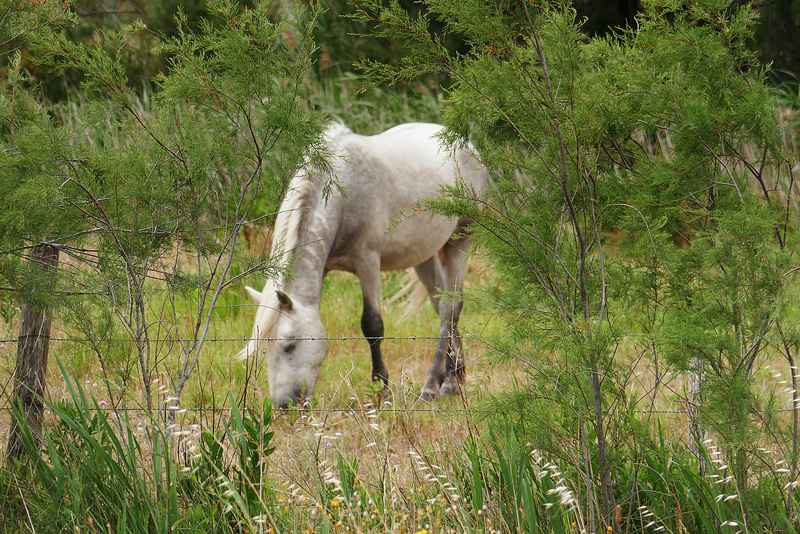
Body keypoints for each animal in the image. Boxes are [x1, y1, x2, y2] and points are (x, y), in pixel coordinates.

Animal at [239, 123, 488, 408]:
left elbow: (372, 325)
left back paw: (435, 385)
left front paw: (382, 390)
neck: (342, 191)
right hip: (425, 254)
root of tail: (467, 145)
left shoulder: (368, 263)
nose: (284, 404)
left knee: (450, 308)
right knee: (443, 309)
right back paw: (454, 379)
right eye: (265, 348)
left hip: (461, 240)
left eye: (289, 345)